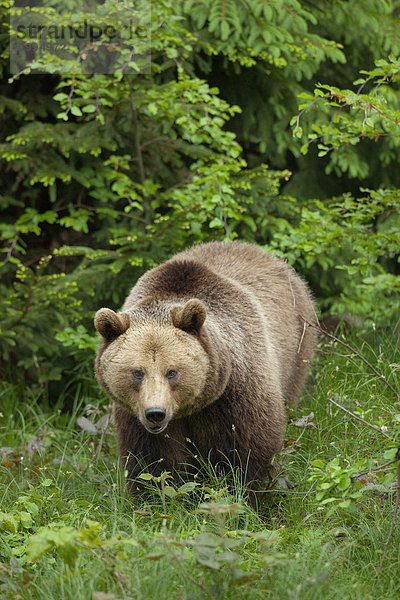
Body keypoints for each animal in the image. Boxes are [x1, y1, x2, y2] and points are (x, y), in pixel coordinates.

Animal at [94, 241, 316, 494]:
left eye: (172, 372)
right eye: (137, 372)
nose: (155, 413)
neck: (189, 409)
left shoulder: (234, 391)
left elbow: (244, 451)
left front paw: (242, 491)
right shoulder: (135, 415)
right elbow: (153, 463)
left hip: (297, 345)